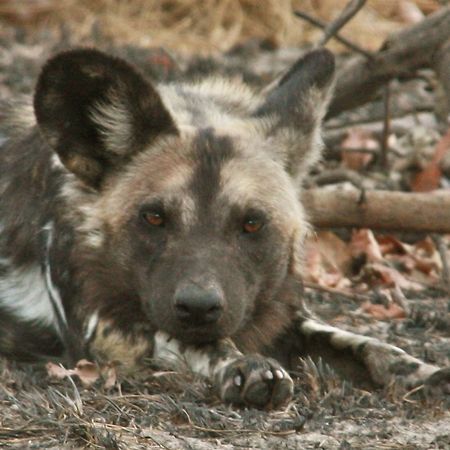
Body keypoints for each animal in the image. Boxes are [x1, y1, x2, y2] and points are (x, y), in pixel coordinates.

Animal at [0, 48, 448, 408]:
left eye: (252, 223)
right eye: (154, 217)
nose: (199, 307)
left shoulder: (279, 313)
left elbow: (365, 344)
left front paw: (418, 370)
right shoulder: (105, 328)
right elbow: (201, 343)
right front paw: (243, 366)